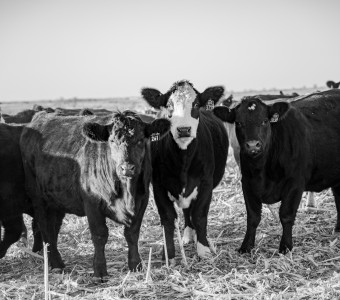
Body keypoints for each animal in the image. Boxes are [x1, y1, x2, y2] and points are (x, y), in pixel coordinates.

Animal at [19, 109, 170, 278]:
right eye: (112, 141)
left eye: (140, 140)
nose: (127, 168)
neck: (127, 192)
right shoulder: (92, 203)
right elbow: (99, 235)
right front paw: (99, 270)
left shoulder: (142, 200)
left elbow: (132, 233)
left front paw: (136, 265)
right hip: (38, 197)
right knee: (45, 227)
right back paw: (56, 264)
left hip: (56, 200)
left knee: (53, 227)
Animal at [141, 80, 228, 262]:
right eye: (169, 106)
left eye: (195, 104)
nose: (183, 129)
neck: (183, 160)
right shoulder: (158, 185)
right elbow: (167, 218)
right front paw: (169, 253)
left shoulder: (206, 183)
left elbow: (200, 215)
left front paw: (203, 249)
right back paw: (188, 235)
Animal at [214, 89, 340, 255]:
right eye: (239, 123)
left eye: (264, 121)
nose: (252, 145)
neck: (262, 171)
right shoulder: (247, 183)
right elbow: (253, 217)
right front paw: (246, 246)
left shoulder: (295, 183)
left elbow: (286, 215)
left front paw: (285, 246)